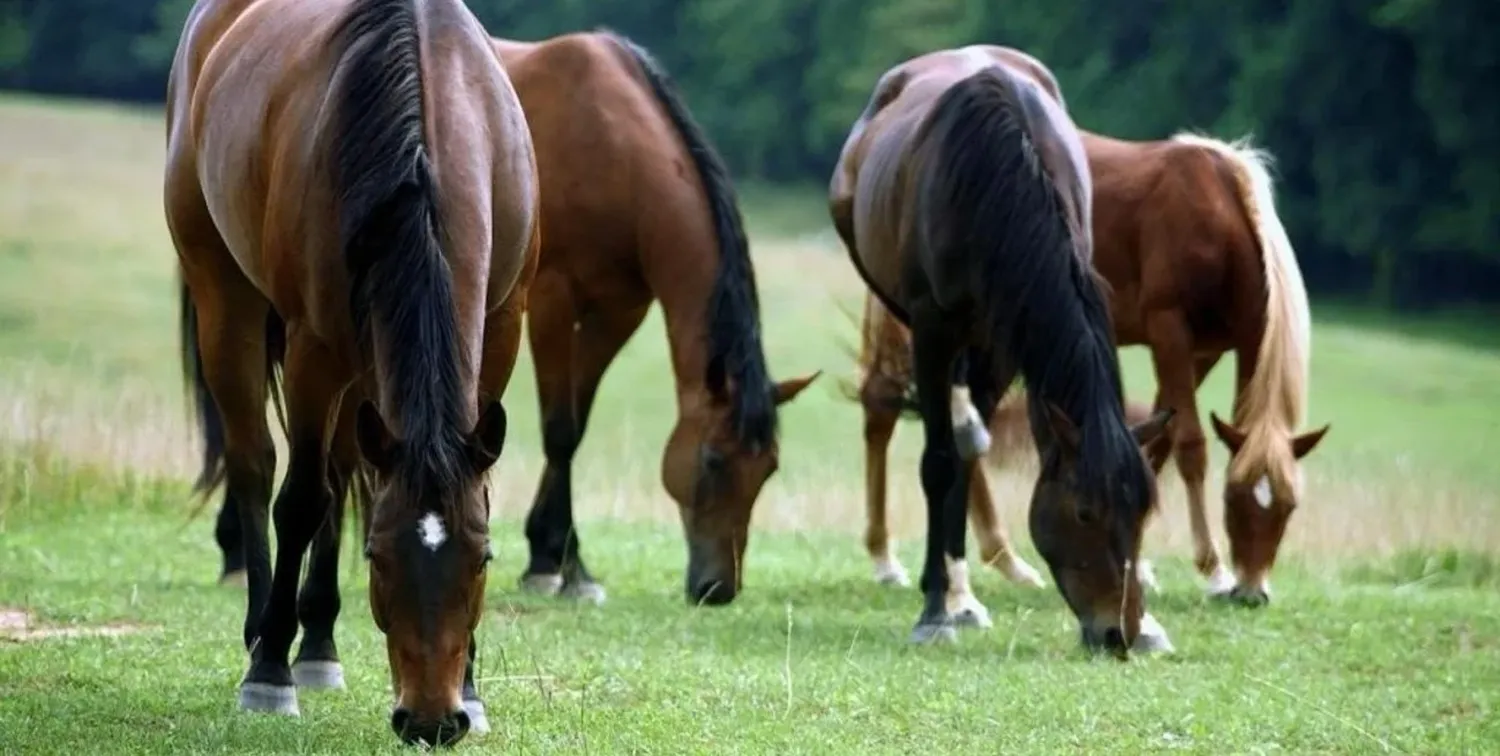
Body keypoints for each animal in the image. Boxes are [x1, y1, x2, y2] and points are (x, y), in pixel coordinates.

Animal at [167, 0, 540, 744]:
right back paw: (265, 637)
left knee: (342, 470)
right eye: (379, 556)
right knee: (255, 464)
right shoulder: (312, 348)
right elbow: (300, 499)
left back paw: (318, 644)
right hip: (226, 296)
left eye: (482, 559)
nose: (432, 720)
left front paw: (474, 686)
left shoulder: (501, 326)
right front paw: (269, 674)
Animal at [492, 30, 822, 609]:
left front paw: (554, 557)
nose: (718, 589)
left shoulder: (617, 312)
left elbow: (577, 426)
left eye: (770, 468)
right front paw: (562, 568)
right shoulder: (553, 300)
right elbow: (559, 431)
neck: (613, 152)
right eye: (713, 461)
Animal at [828, 42, 1176, 657]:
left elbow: (967, 457)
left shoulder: (1008, 336)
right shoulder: (934, 329)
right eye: (1084, 513)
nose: (1118, 632)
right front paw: (936, 611)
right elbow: (940, 462)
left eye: (1142, 513)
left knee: (970, 443)